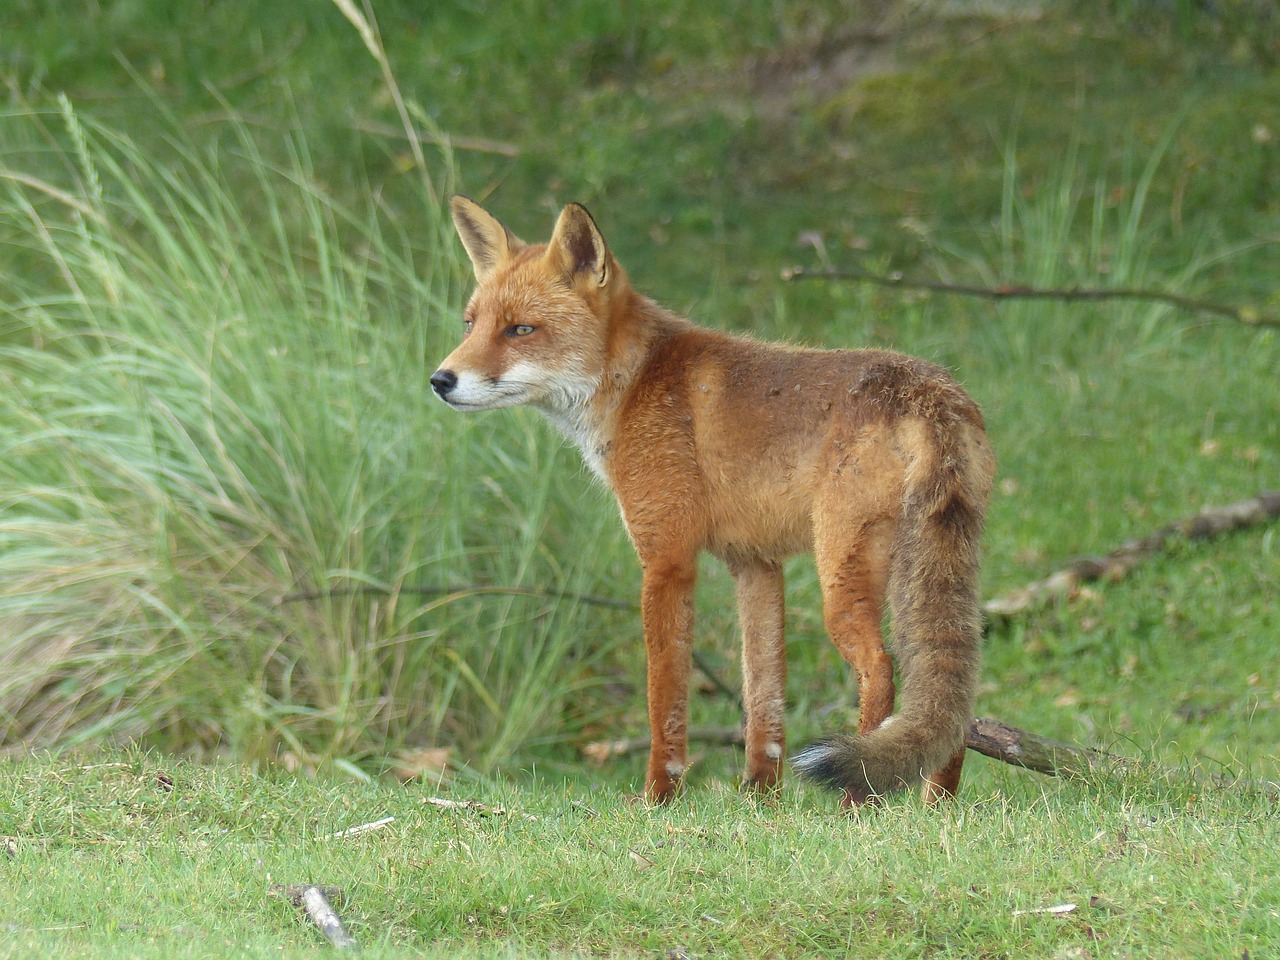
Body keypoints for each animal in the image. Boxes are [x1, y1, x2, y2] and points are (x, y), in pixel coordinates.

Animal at [435, 199, 993, 808]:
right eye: (470, 324)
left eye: (521, 330)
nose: (441, 379)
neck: (635, 382)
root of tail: (933, 392)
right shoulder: (754, 563)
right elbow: (763, 697)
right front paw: (760, 799)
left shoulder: (667, 558)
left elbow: (665, 697)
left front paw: (658, 796)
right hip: (932, 571)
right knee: (953, 694)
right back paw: (937, 806)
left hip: (844, 575)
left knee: (881, 670)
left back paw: (856, 803)